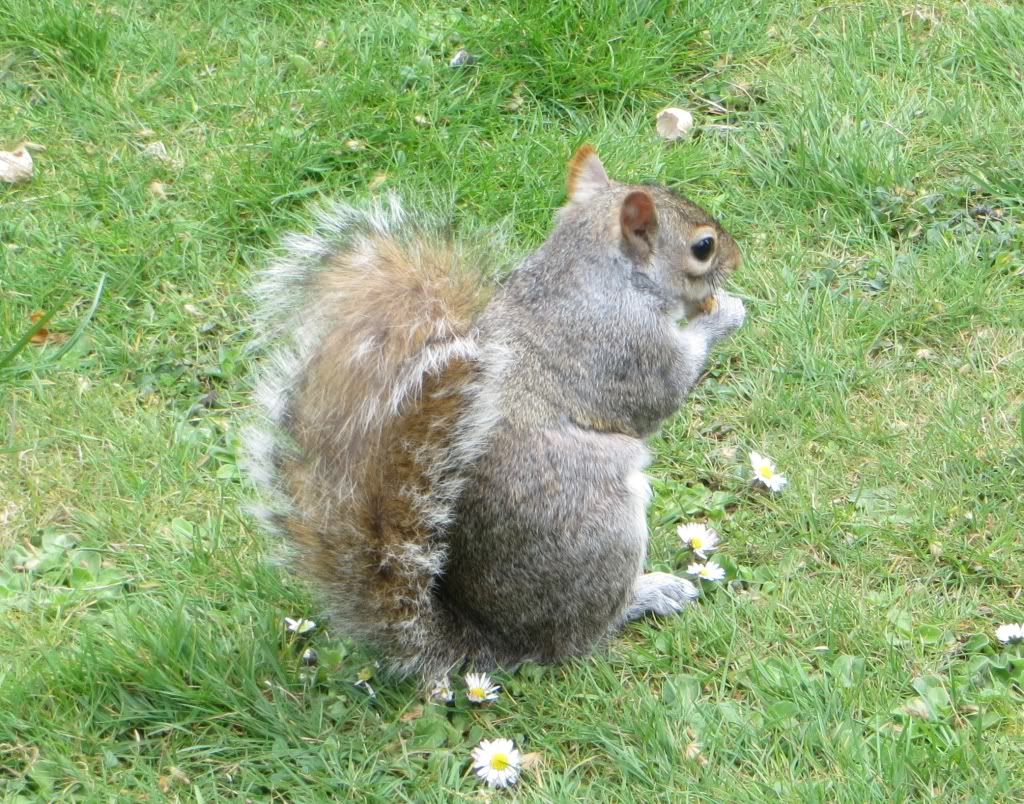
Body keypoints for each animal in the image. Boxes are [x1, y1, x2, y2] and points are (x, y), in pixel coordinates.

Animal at [243, 146, 746, 683]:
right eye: (703, 246)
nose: (737, 258)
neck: (593, 274)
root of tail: (495, 641)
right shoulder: (626, 348)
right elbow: (664, 392)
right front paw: (726, 313)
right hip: (602, 529)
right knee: (580, 636)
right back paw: (647, 594)